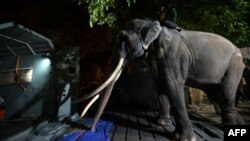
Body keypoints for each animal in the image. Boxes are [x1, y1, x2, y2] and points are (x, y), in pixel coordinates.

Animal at [73, 19, 245, 141]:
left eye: (123, 38)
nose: (91, 130)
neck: (151, 23)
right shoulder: (156, 57)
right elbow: (161, 84)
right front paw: (163, 124)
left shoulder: (172, 55)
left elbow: (172, 85)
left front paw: (184, 139)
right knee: (220, 96)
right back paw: (239, 125)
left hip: (233, 67)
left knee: (226, 95)